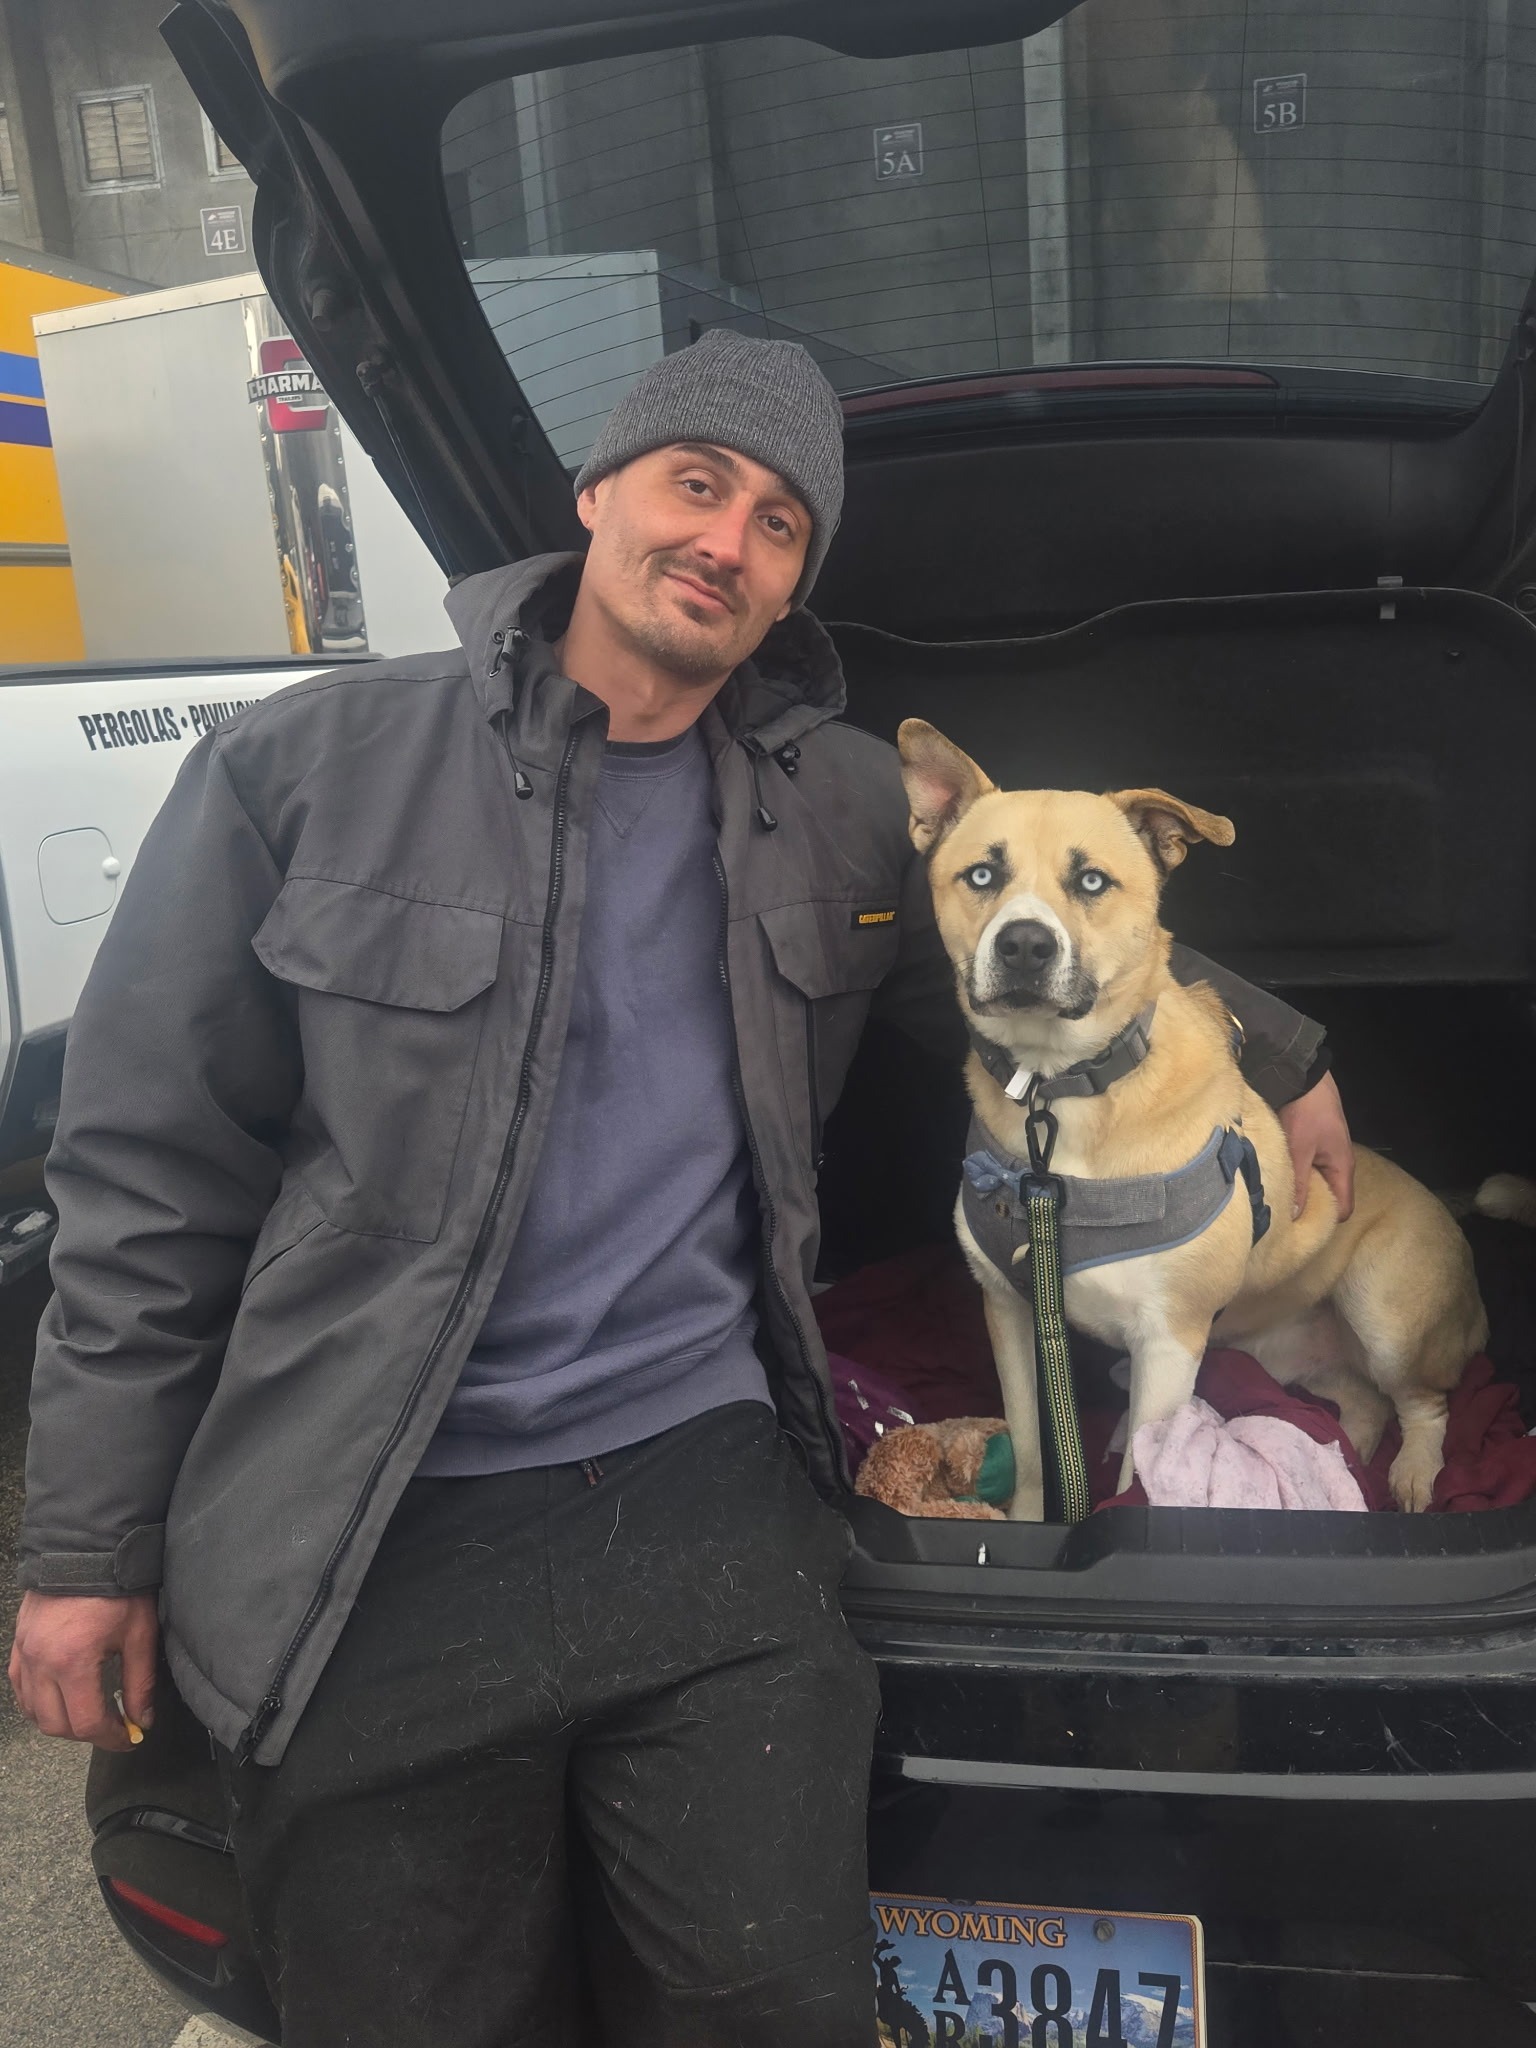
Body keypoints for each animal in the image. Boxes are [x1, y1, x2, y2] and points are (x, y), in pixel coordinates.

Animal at [897, 718, 1489, 1519]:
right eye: (983, 876)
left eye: (1092, 881)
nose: (1023, 944)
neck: (1061, 1090)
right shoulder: (1011, 1314)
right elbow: (1027, 1451)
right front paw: (1025, 1524)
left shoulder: (1169, 1344)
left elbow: (1140, 1477)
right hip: (1282, 1350)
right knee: (1361, 1406)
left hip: (1386, 1314)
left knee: (1425, 1403)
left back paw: (1413, 1474)